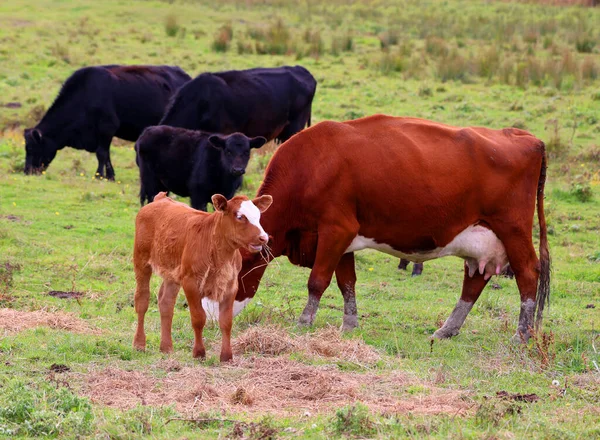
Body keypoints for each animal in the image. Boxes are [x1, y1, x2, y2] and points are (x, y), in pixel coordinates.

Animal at [24, 65, 190, 179]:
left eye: (31, 148)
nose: (26, 171)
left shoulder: (107, 128)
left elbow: (102, 153)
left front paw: (99, 175)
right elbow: (107, 154)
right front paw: (110, 176)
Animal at [133, 192, 272, 360]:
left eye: (258, 215)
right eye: (240, 216)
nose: (264, 237)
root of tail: (160, 199)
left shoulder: (231, 285)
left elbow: (226, 321)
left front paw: (226, 356)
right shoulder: (190, 282)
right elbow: (198, 318)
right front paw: (199, 352)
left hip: (172, 273)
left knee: (166, 302)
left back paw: (166, 347)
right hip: (141, 260)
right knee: (142, 300)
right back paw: (139, 344)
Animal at [137, 125, 268, 211]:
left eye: (247, 152)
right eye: (228, 151)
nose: (238, 170)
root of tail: (147, 130)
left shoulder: (227, 195)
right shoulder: (197, 194)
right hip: (150, 180)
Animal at [233, 115, 548, 342]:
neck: (311, 167)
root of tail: (525, 137)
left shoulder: (336, 229)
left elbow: (317, 281)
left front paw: (304, 322)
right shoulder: (343, 239)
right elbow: (347, 283)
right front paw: (349, 325)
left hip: (513, 230)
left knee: (528, 273)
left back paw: (521, 335)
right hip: (481, 239)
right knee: (474, 281)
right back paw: (447, 329)